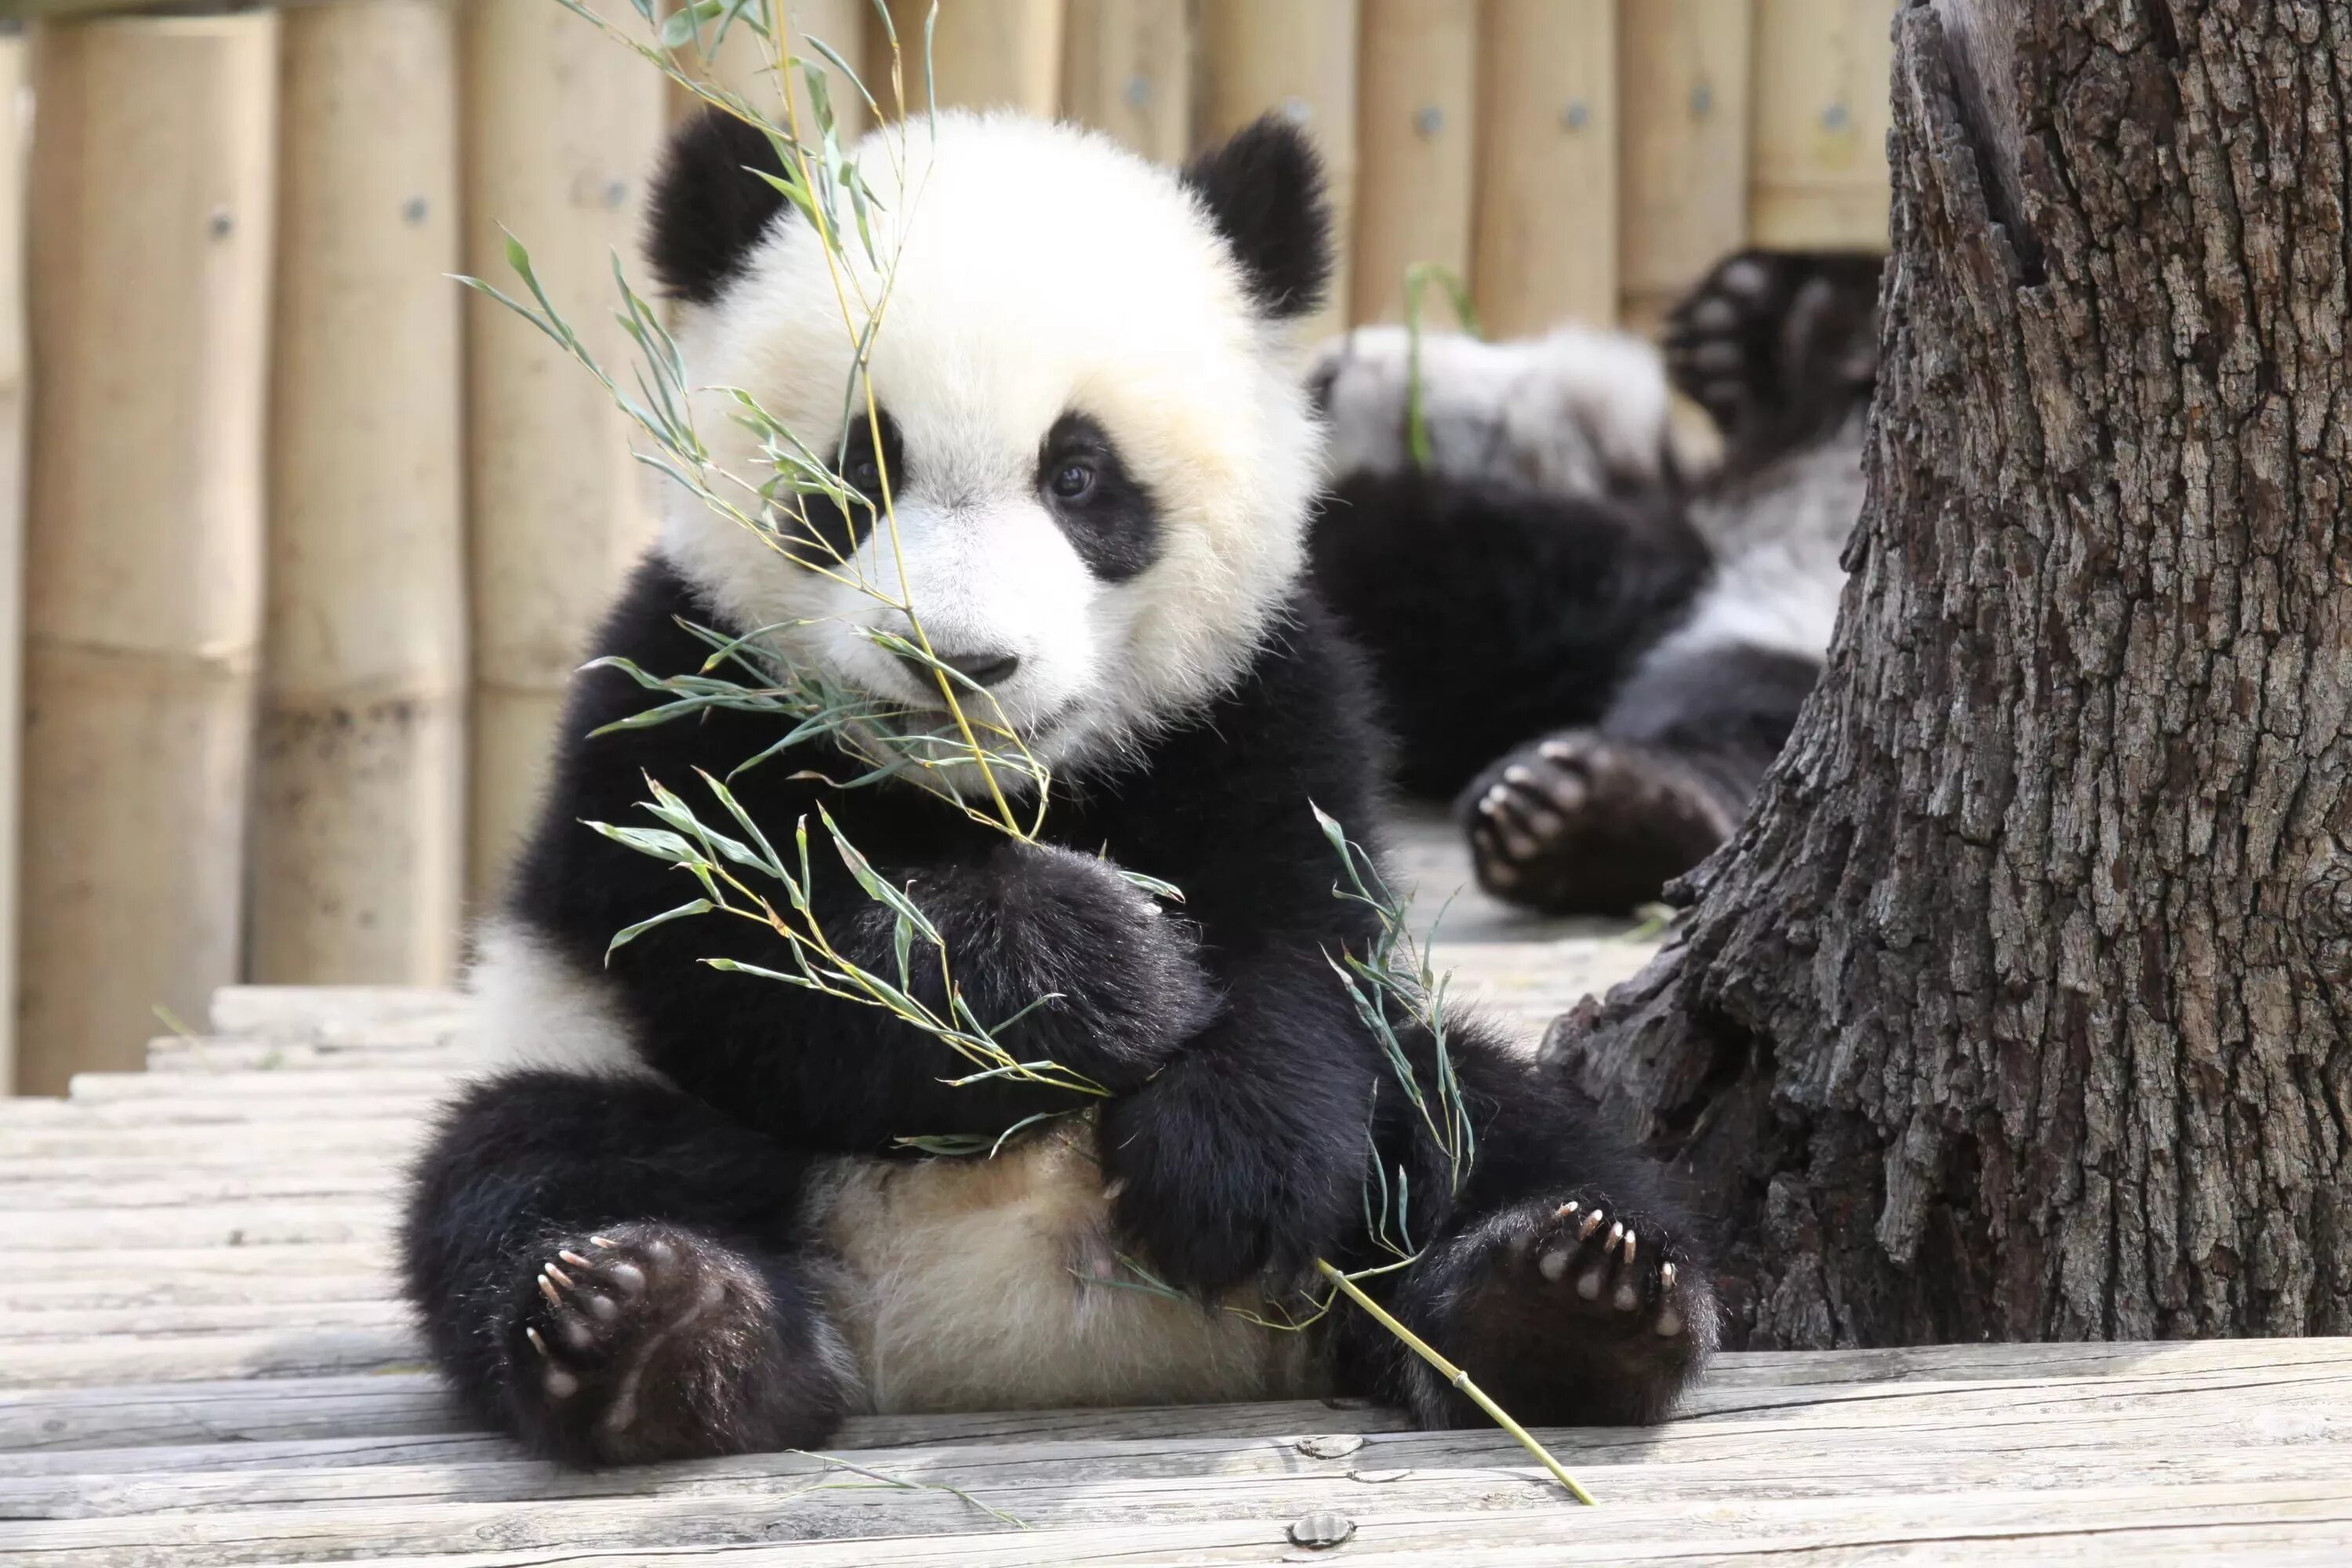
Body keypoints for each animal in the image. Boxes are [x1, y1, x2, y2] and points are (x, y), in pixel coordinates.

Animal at [405, 113, 1722, 1476]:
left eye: (1080, 477)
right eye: (859, 471)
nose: (961, 662)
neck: (992, 792)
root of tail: (1010, 1340)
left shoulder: (1261, 693)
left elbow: (1305, 941)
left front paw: (1224, 1166)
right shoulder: (678, 689)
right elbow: (737, 953)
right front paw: (1099, 963)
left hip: (1410, 1132)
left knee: (1488, 1126)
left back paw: (1565, 1298)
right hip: (611, 1082)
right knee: (535, 1172)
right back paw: (658, 1329)